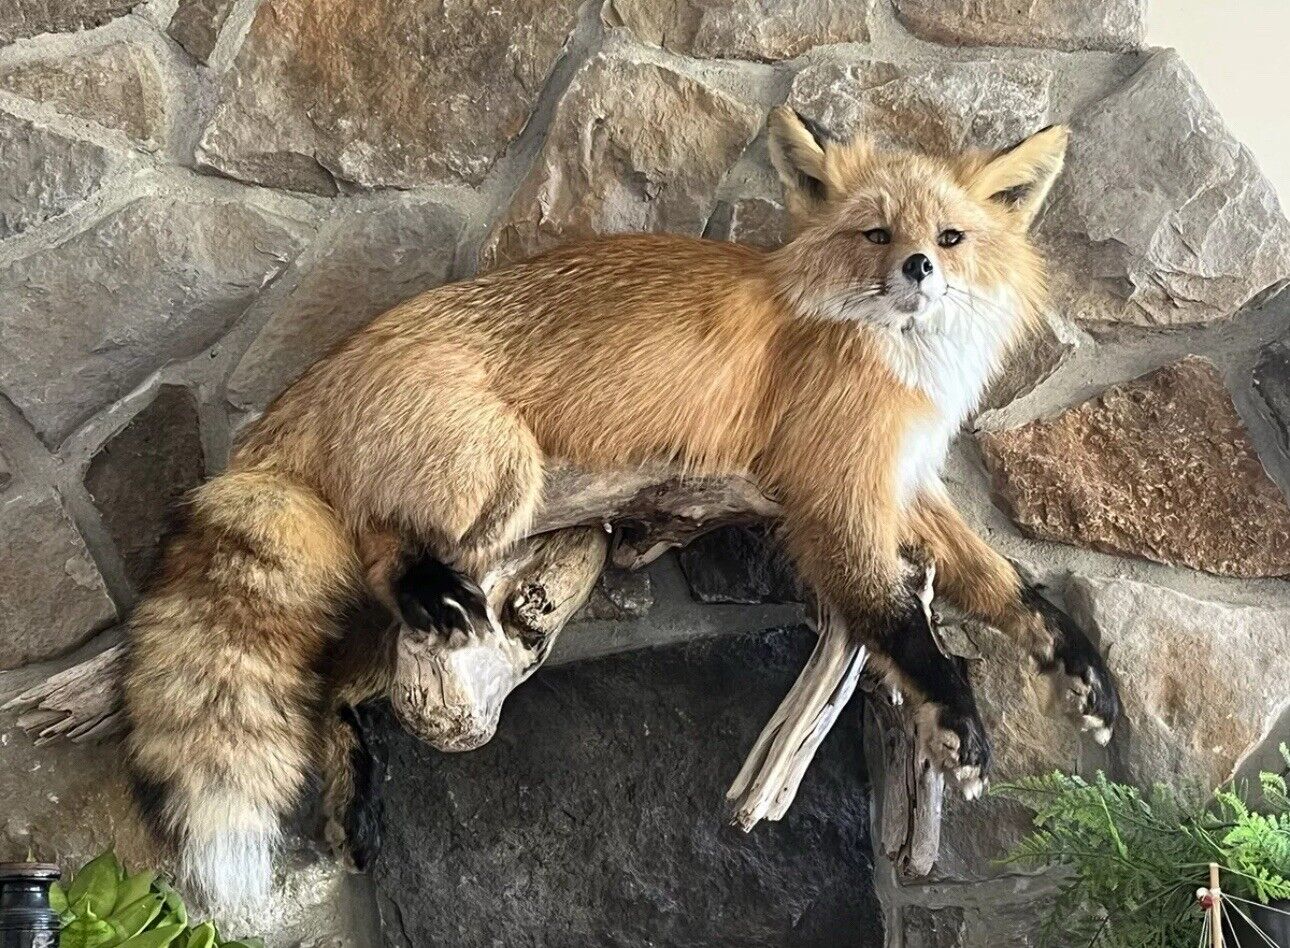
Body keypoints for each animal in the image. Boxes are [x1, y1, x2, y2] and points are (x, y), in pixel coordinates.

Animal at [123, 107, 1119, 908]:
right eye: (876, 233)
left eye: (950, 237)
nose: (916, 267)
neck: (894, 361)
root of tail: (312, 381)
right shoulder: (835, 498)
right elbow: (899, 622)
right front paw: (957, 718)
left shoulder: (905, 484)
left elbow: (1003, 582)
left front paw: (1076, 663)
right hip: (503, 469)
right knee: (376, 551)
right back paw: (414, 595)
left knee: (335, 683)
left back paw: (354, 794)